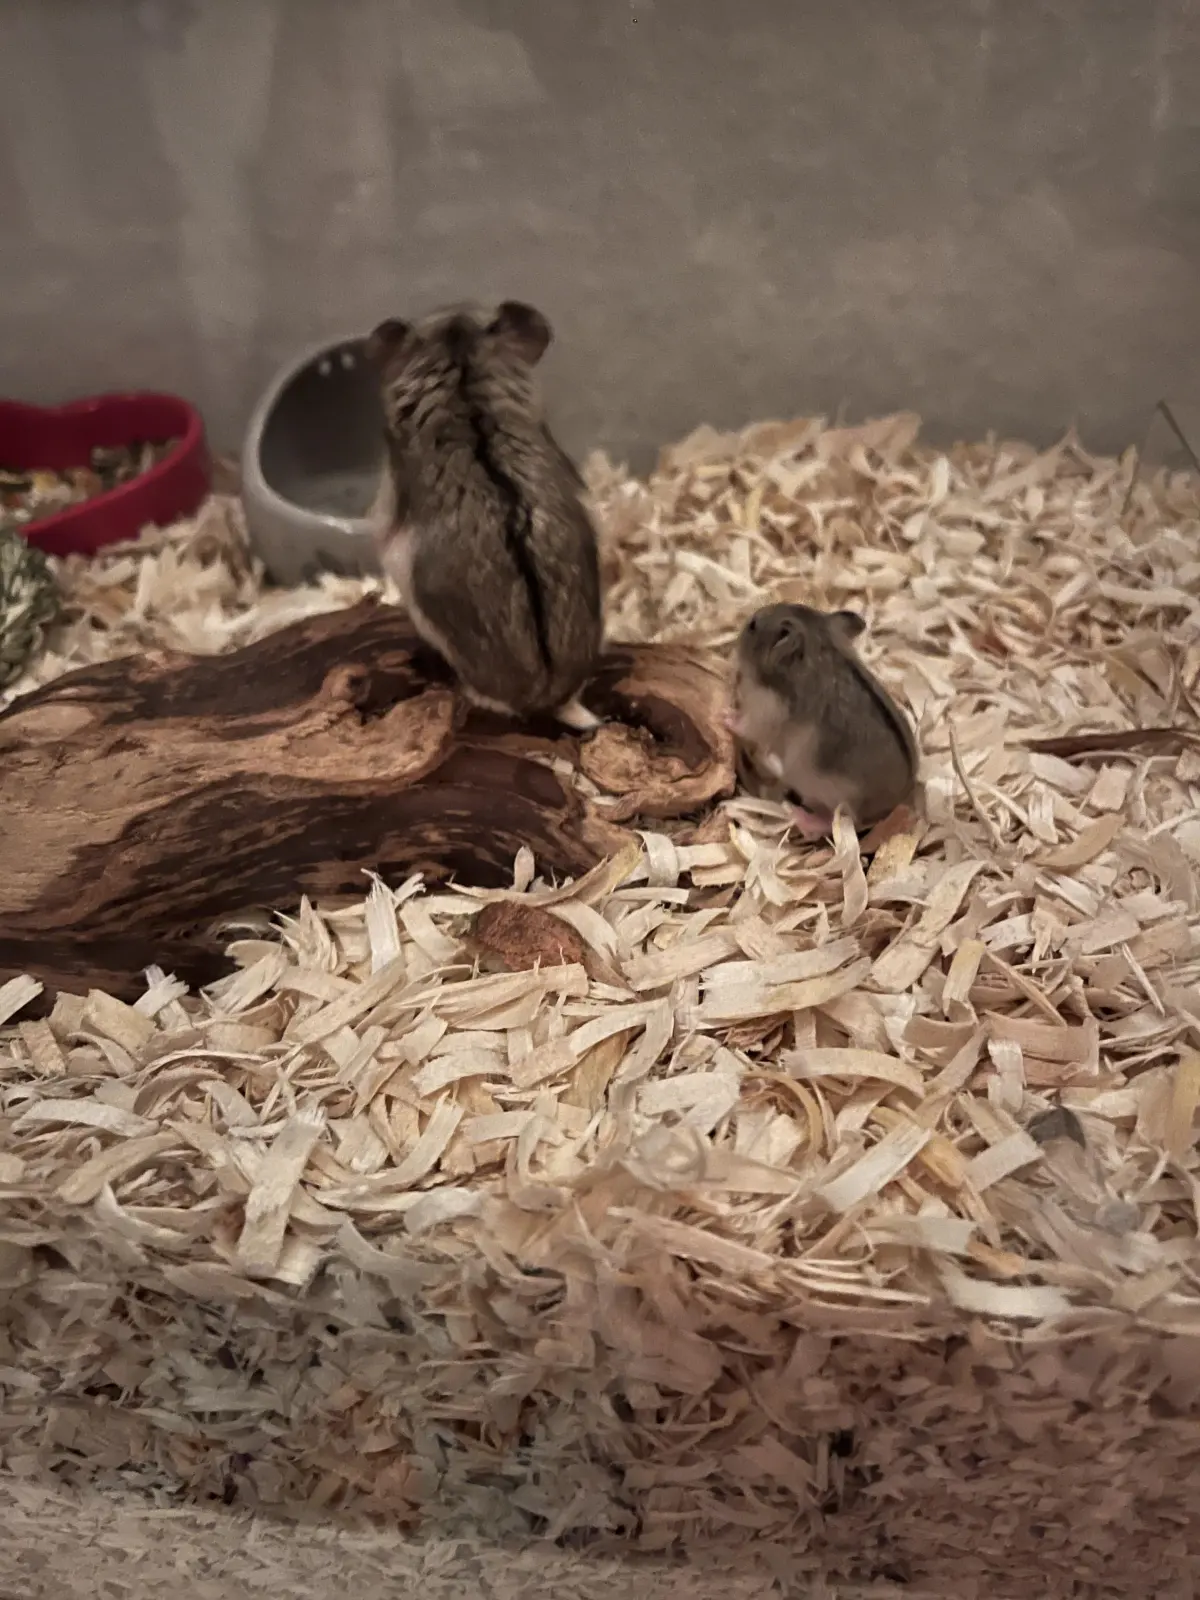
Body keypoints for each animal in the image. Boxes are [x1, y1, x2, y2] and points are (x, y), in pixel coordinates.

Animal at [727, 602, 918, 839]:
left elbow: (744, 725)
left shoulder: (764, 713)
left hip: (832, 796)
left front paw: (725, 714)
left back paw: (801, 817)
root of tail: (896, 804)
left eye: (752, 625)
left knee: (838, 822)